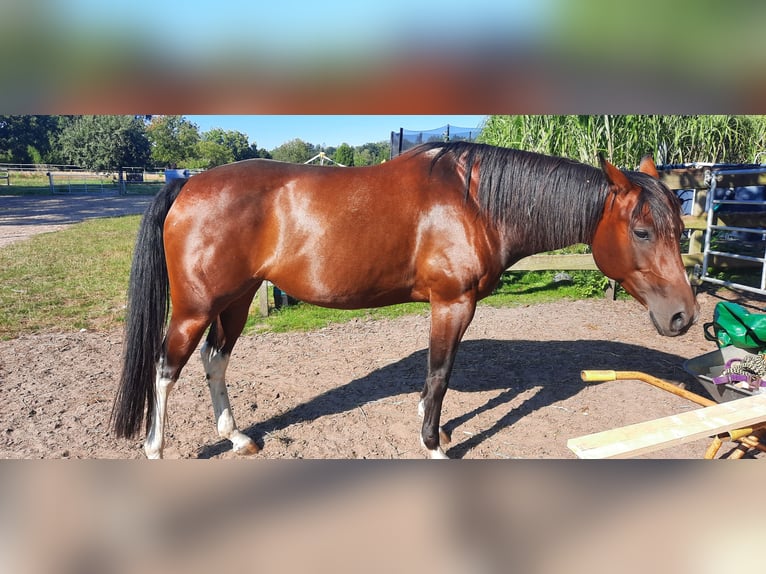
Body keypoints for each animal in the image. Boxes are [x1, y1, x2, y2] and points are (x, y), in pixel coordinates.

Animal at [111, 142, 700, 462]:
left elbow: (436, 375)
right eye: (643, 231)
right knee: (165, 369)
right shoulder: (452, 304)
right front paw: (434, 442)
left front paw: (429, 425)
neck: (475, 204)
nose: (683, 316)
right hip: (195, 308)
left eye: (678, 228)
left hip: (236, 300)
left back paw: (236, 438)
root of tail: (187, 185)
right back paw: (155, 447)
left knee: (215, 361)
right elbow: (439, 372)